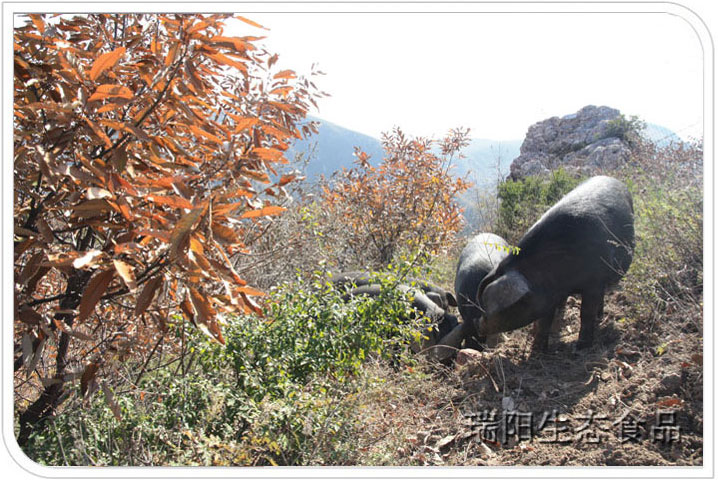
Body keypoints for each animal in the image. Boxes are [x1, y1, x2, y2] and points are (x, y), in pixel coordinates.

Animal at [478, 174, 636, 350]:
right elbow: (544, 320)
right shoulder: (549, 295)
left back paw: (599, 317)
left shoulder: (593, 282)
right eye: (485, 302)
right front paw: (538, 348)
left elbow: (586, 313)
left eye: (507, 309)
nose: (479, 325)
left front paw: (581, 346)